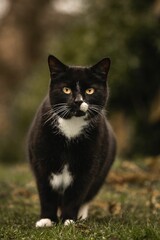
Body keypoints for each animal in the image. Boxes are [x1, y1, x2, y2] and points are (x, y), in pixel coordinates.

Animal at [26, 54, 115, 227]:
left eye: (90, 90)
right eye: (66, 89)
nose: (78, 101)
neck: (72, 127)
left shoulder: (88, 165)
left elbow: (77, 193)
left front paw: (68, 220)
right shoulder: (41, 160)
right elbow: (46, 192)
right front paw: (46, 219)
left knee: (87, 196)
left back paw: (80, 215)